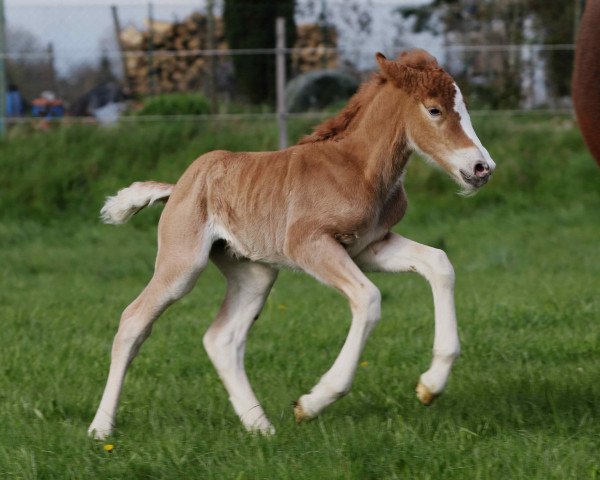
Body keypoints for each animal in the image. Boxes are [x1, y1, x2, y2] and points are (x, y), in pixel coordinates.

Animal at [86, 49, 494, 438]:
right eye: (434, 109)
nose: (482, 168)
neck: (357, 168)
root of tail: (178, 187)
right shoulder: (309, 244)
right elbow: (369, 299)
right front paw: (312, 403)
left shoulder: (369, 247)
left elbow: (439, 263)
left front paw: (430, 386)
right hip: (182, 264)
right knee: (133, 321)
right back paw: (101, 428)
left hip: (254, 273)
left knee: (222, 338)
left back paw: (260, 426)